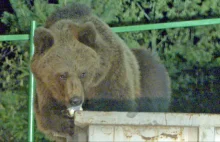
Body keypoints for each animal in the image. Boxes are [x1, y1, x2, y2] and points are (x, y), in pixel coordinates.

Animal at [31, 1, 171, 141]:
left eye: (83, 73)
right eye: (62, 75)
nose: (75, 100)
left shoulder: (110, 72)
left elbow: (116, 102)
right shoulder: (45, 85)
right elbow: (45, 111)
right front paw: (65, 120)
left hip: (145, 74)